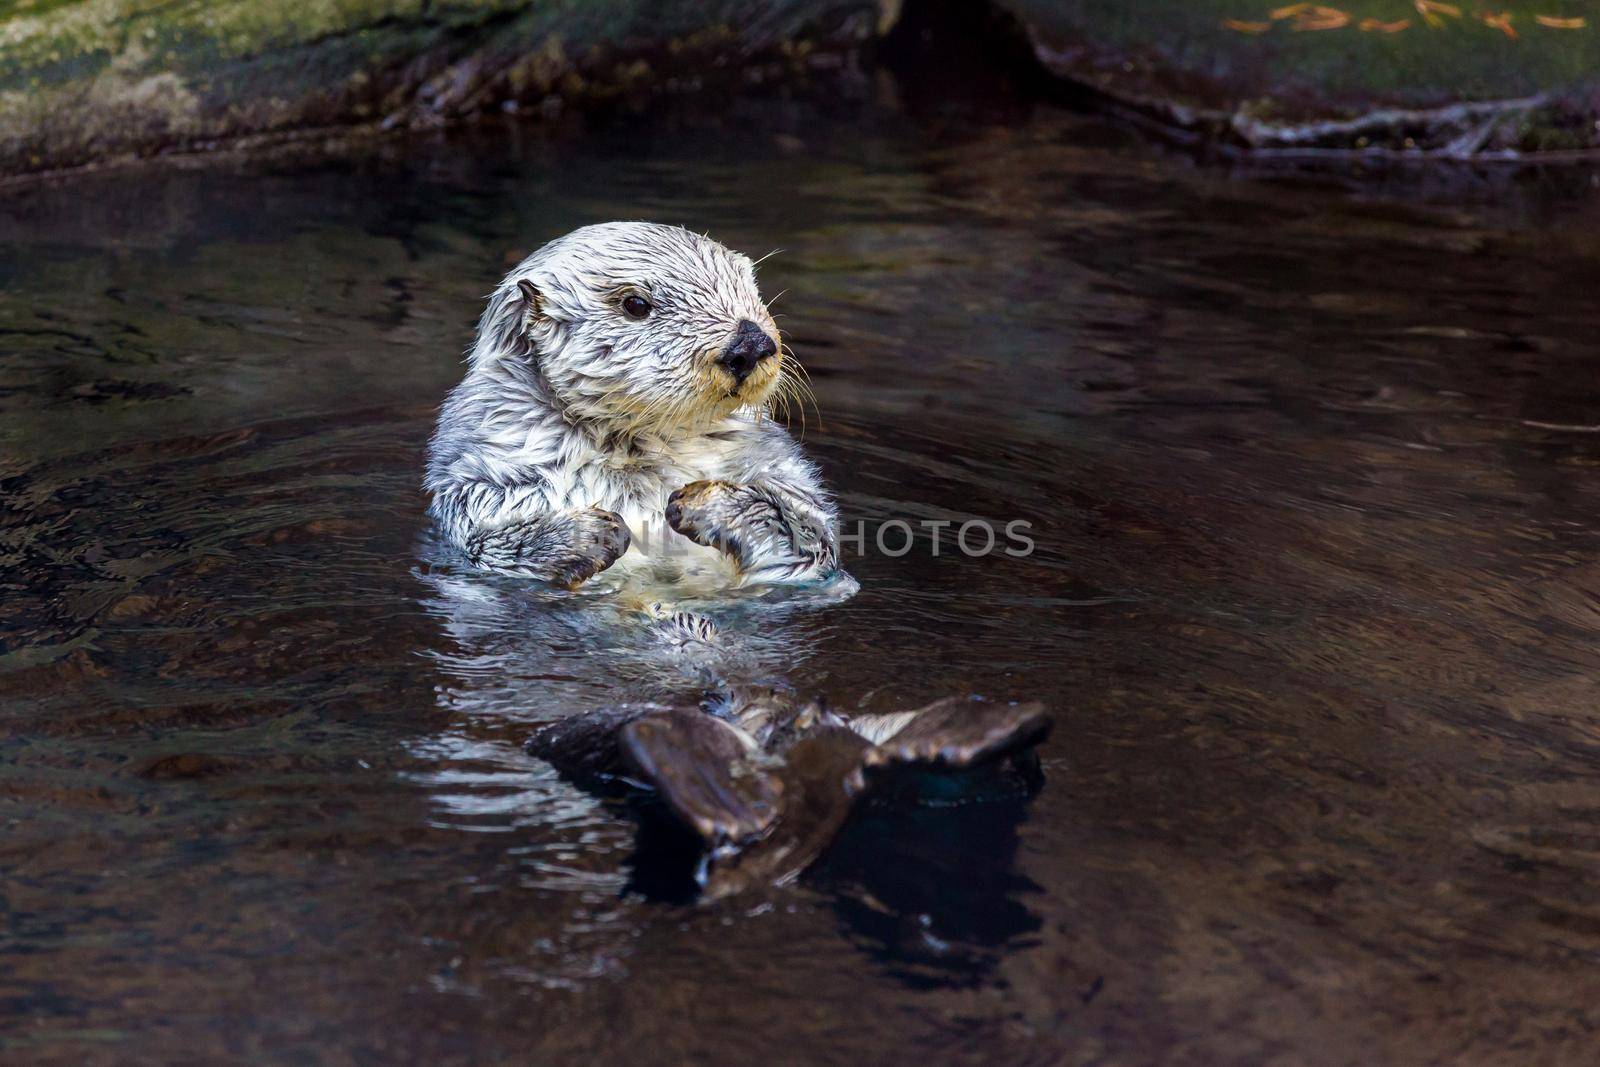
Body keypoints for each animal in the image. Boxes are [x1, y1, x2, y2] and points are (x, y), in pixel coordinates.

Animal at [425, 220, 851, 588]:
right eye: (635, 304)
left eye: (749, 289)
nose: (749, 344)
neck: (637, 455)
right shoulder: (479, 478)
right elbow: (487, 542)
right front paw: (593, 533)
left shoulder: (777, 466)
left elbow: (811, 538)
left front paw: (707, 503)